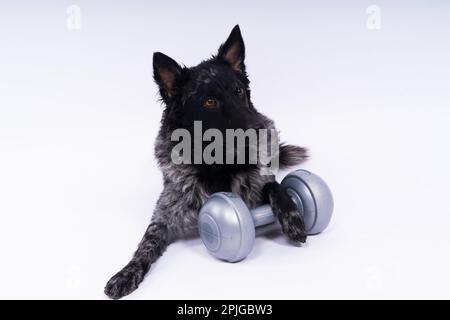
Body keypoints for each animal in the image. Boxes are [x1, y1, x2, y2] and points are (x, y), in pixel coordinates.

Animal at [105, 25, 310, 300]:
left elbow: (275, 186)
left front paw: (293, 218)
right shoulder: (164, 215)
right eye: (209, 101)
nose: (260, 129)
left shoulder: (262, 179)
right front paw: (126, 273)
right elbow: (146, 243)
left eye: (239, 91)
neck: (219, 164)